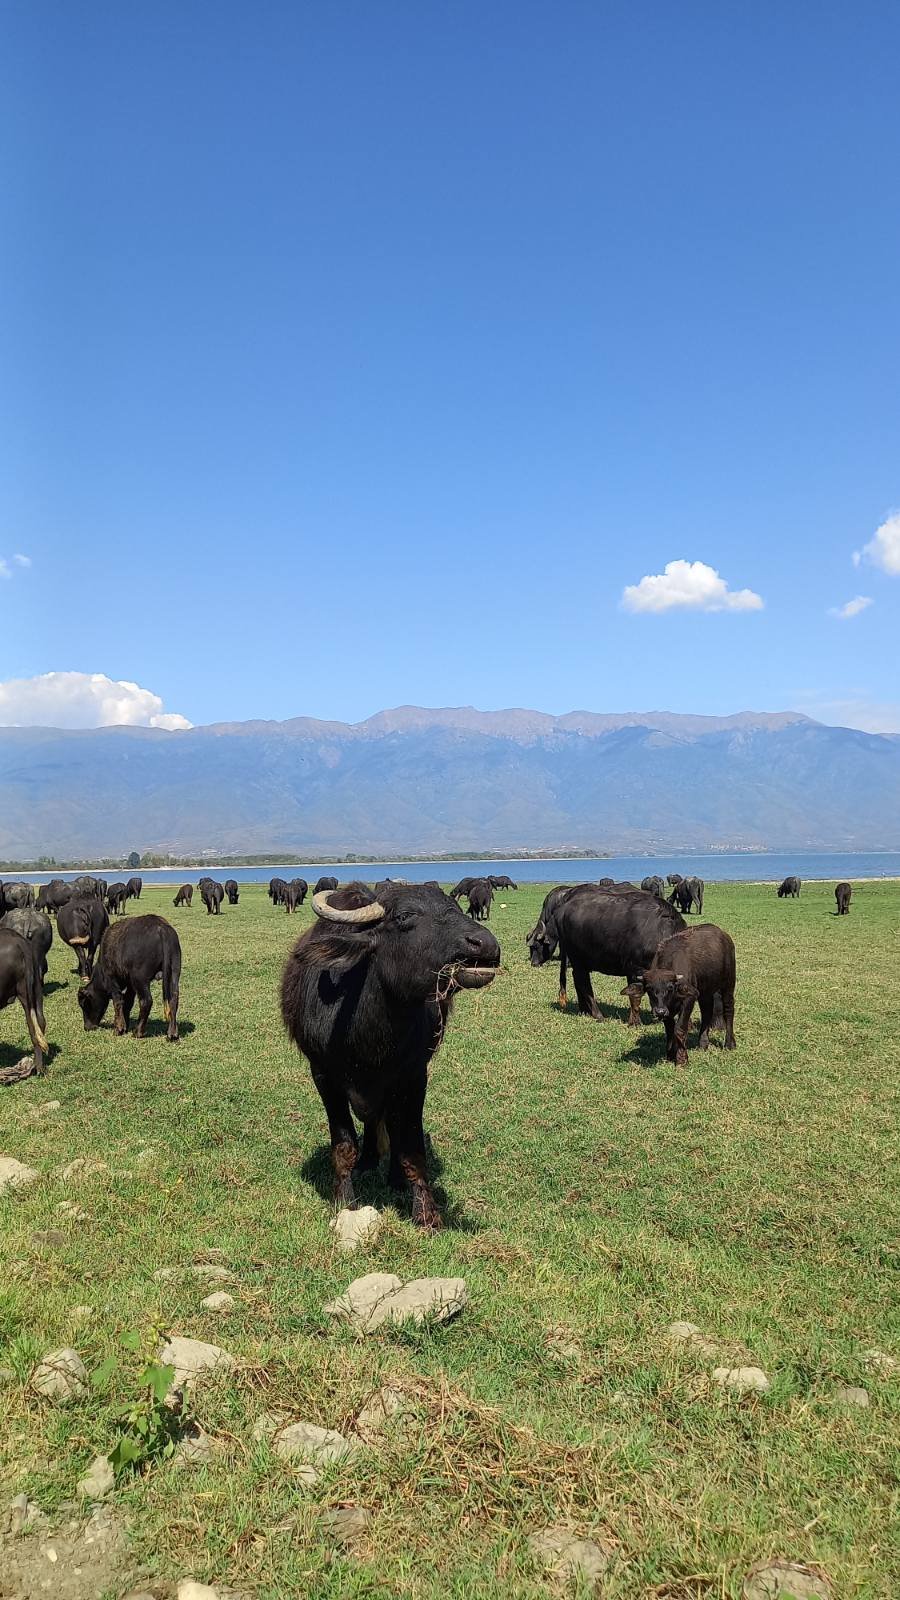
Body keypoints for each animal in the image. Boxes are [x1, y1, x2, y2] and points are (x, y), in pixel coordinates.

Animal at [281, 881, 500, 1228]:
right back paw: (367, 1163)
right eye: (405, 916)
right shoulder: (323, 1075)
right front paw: (345, 1201)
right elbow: (343, 1144)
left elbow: (411, 1147)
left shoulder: (413, 1076)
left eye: (454, 908)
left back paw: (394, 1176)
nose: (485, 944)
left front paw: (426, 1214)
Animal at [624, 923, 736, 1064]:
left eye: (670, 987)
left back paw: (729, 1043)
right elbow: (669, 1029)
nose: (659, 1011)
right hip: (705, 991)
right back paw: (703, 1043)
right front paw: (671, 1054)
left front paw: (682, 1059)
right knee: (707, 1012)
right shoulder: (668, 1010)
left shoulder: (688, 1000)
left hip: (729, 983)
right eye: (649, 988)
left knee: (729, 1010)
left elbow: (680, 1029)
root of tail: (725, 936)